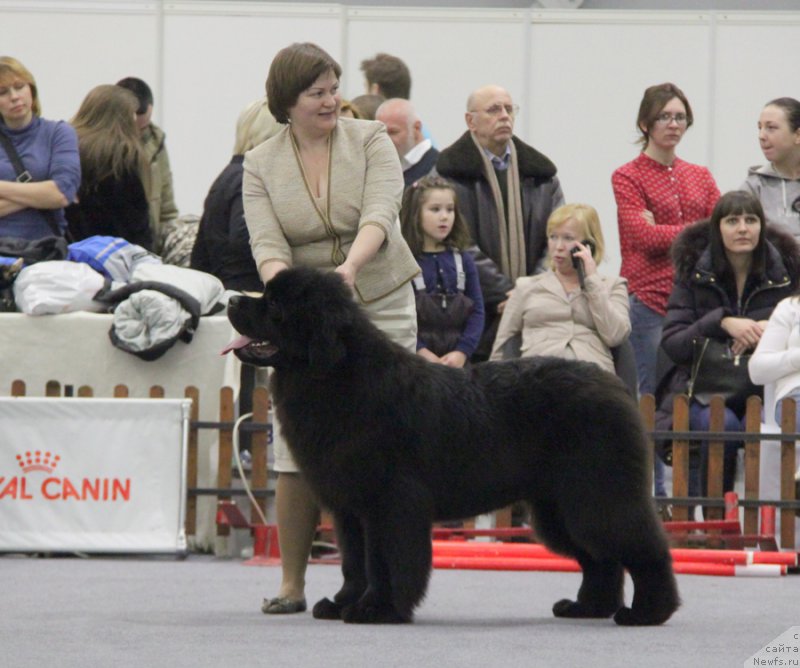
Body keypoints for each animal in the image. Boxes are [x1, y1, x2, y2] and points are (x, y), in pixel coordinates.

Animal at [223, 268, 676, 628]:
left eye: (274, 304)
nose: (231, 299)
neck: (339, 375)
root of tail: (615, 386)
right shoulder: (349, 508)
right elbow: (354, 562)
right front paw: (342, 604)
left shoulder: (389, 502)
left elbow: (384, 560)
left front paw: (378, 609)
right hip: (559, 507)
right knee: (601, 559)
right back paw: (588, 608)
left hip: (597, 495)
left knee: (642, 547)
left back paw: (648, 612)